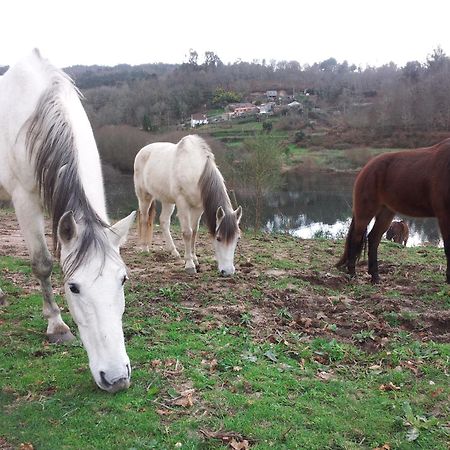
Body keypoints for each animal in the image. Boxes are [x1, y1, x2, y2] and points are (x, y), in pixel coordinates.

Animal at [0, 49, 136, 392]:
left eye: (122, 280)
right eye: (73, 287)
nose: (116, 378)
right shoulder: (24, 200)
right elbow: (42, 264)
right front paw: (56, 325)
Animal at [134, 134, 243, 274]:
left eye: (237, 239)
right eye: (218, 238)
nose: (228, 271)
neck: (195, 170)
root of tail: (143, 151)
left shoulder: (199, 207)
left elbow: (194, 232)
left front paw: (195, 259)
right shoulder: (182, 203)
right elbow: (187, 232)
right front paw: (190, 265)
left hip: (167, 200)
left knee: (164, 221)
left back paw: (173, 251)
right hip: (144, 196)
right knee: (144, 218)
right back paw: (145, 248)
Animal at [338, 138, 450, 284]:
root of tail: (367, 167)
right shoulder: (444, 215)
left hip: (386, 213)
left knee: (373, 239)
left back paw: (375, 277)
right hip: (365, 212)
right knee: (356, 238)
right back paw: (352, 273)